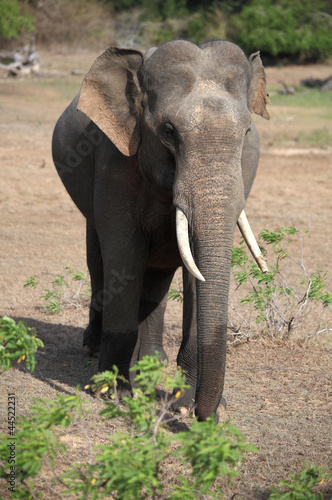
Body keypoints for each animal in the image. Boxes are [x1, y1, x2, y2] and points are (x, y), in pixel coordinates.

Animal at [52, 40, 270, 422]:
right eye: (169, 131)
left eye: (246, 132)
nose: (203, 416)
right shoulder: (115, 158)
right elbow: (124, 258)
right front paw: (114, 394)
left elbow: (196, 275)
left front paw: (185, 403)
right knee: (99, 262)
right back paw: (95, 350)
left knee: (158, 278)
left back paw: (154, 361)